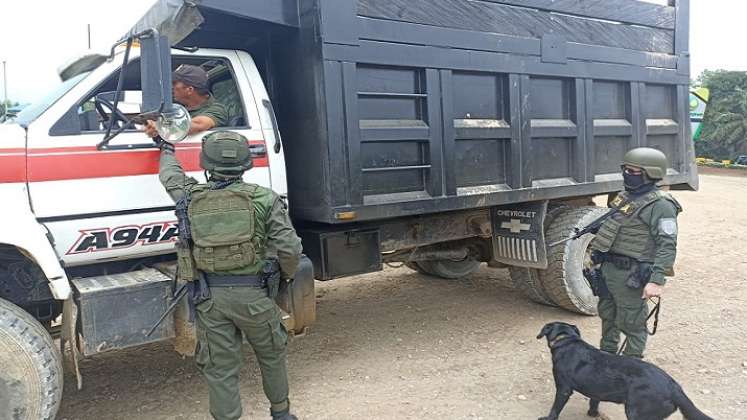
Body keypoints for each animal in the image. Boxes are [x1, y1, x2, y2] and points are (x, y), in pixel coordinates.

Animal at [536, 324, 712, 418]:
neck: (567, 340)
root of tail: (674, 386)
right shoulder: (596, 391)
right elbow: (594, 401)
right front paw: (592, 414)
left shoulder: (563, 389)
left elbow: (555, 409)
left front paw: (548, 418)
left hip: (636, 412)